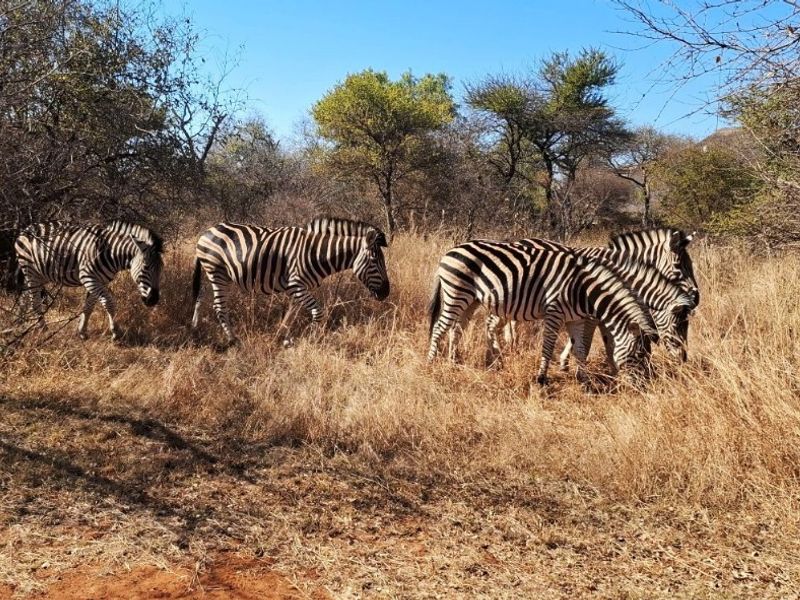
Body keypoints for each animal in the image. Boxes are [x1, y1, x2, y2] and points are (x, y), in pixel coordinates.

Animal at [15, 220, 164, 340]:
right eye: (145, 267)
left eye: (161, 269)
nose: (153, 300)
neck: (110, 252)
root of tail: (26, 229)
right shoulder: (88, 277)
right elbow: (108, 302)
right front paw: (115, 331)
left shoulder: (98, 281)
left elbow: (89, 306)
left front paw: (82, 332)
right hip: (31, 272)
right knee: (35, 302)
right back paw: (43, 329)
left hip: (39, 275)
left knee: (24, 297)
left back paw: (18, 322)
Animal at [191, 217, 390, 344]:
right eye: (374, 261)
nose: (386, 293)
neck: (317, 253)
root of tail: (206, 231)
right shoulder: (296, 285)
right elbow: (318, 312)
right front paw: (310, 339)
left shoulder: (299, 288)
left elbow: (291, 312)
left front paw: (283, 337)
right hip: (217, 274)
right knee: (218, 306)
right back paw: (233, 339)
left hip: (217, 276)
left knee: (201, 297)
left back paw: (195, 328)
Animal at [427, 240, 659, 386]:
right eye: (640, 355)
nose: (644, 385)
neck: (582, 290)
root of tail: (450, 251)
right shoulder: (554, 312)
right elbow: (548, 347)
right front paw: (541, 378)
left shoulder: (575, 319)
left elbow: (581, 350)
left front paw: (584, 380)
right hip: (456, 293)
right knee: (439, 327)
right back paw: (430, 363)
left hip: (471, 300)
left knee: (456, 329)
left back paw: (453, 362)